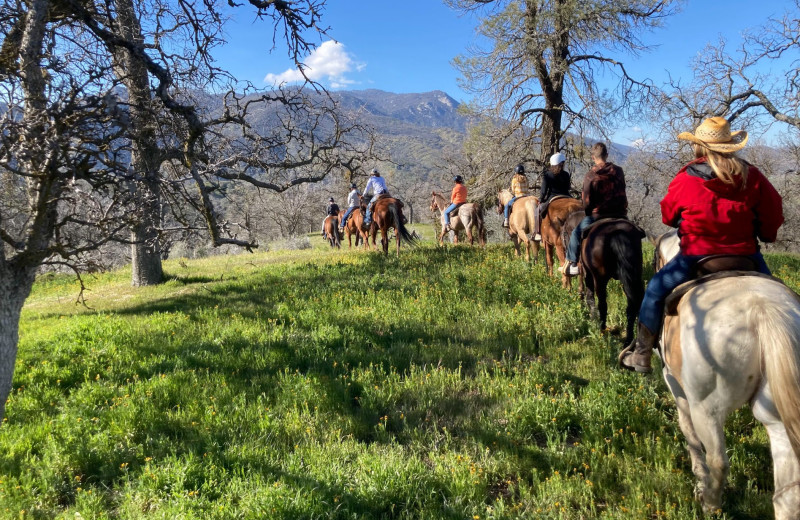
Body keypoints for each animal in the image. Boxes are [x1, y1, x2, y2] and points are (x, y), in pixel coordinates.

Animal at [560, 216, 648, 346]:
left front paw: (592, 318)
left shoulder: (587, 274)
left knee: (602, 303)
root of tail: (617, 232)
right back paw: (629, 339)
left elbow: (589, 297)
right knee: (633, 305)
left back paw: (602, 330)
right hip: (633, 277)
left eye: (564, 234)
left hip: (599, 278)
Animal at [652, 230, 800, 516]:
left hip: (707, 409)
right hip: (776, 417)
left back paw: (709, 502)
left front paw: (698, 475)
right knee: (788, 494)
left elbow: (687, 430)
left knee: (719, 461)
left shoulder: (675, 385)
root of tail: (763, 311)